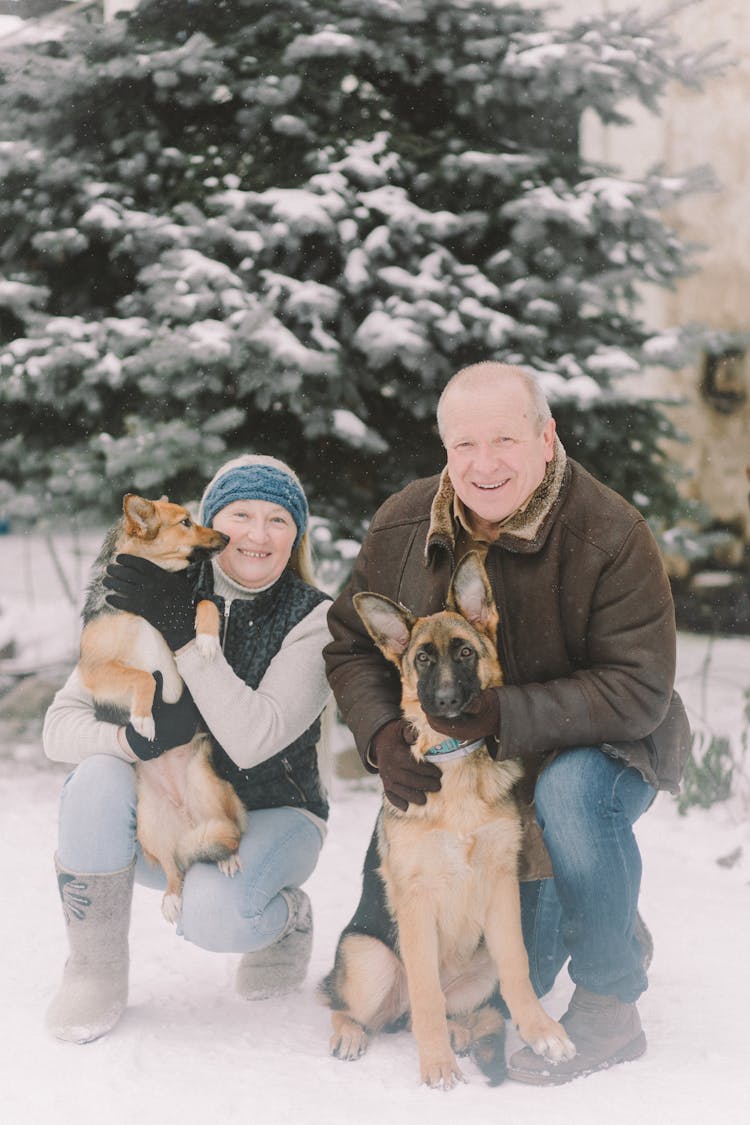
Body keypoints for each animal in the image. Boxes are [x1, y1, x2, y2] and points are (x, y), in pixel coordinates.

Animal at [80, 492, 247, 922]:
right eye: (185, 522)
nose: (226, 536)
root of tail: (185, 816)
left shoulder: (182, 618)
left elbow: (204, 606)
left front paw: (207, 640)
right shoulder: (93, 670)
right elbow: (143, 677)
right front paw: (143, 719)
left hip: (208, 788)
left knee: (228, 834)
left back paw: (226, 858)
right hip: (150, 826)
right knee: (175, 868)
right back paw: (172, 896)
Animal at [319, 553, 575, 1089]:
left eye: (463, 653)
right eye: (422, 659)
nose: (445, 702)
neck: (456, 770)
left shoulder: (501, 886)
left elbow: (518, 967)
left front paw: (540, 1030)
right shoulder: (416, 900)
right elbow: (425, 992)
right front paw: (436, 1063)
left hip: (480, 965)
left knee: (448, 1006)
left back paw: (462, 1032)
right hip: (371, 961)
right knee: (349, 1004)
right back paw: (354, 1033)